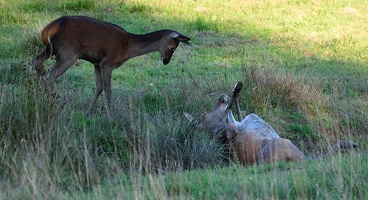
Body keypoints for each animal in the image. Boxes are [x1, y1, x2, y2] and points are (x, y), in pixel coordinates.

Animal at [33, 15, 191, 115]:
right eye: (173, 47)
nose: (166, 61)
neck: (128, 47)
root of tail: (46, 31)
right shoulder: (108, 64)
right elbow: (108, 90)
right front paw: (110, 115)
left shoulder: (96, 63)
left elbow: (98, 88)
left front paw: (88, 112)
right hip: (68, 53)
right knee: (52, 75)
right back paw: (48, 100)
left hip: (51, 50)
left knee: (37, 61)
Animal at [185, 82, 358, 165]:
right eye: (204, 114)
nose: (222, 96)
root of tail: (302, 159)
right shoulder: (234, 129)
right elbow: (231, 109)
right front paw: (237, 89)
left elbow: (239, 110)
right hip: (275, 147)